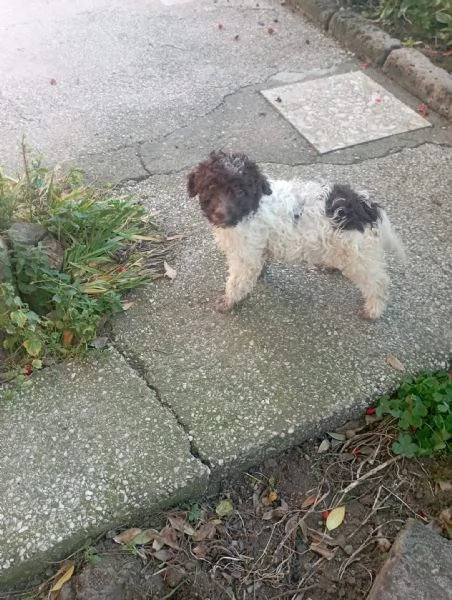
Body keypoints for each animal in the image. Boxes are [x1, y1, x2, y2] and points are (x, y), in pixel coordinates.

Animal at [185, 150, 404, 318]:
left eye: (240, 191)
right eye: (211, 187)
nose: (221, 214)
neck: (253, 206)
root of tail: (367, 207)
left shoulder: (244, 256)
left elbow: (236, 281)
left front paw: (229, 301)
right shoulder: (257, 249)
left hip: (358, 256)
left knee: (379, 283)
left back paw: (373, 310)